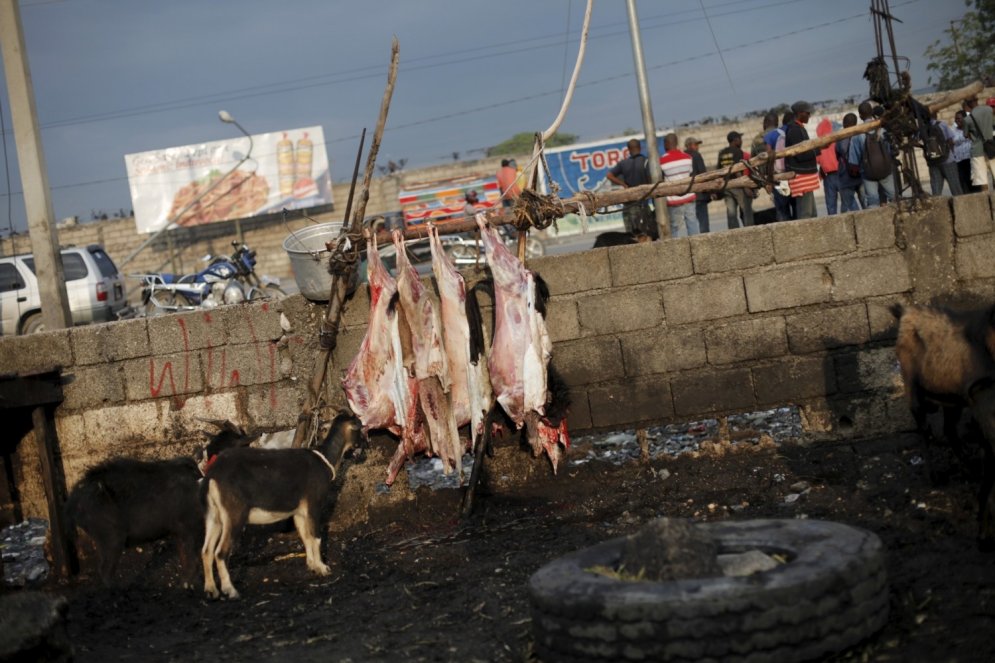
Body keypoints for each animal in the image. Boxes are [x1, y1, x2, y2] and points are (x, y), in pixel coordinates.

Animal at [66, 456, 204, 588]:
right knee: (104, 569)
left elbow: (185, 556)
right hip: (110, 537)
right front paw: (187, 585)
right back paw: (120, 588)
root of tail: (73, 501)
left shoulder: (180, 531)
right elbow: (192, 558)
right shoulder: (188, 527)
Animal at [200, 412, 364, 600]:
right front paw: (323, 568)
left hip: (213, 516)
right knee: (220, 552)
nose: (365, 445)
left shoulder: (299, 511)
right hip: (234, 515)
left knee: (206, 551)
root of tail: (213, 476)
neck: (324, 459)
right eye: (360, 427)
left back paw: (211, 590)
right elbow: (316, 536)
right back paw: (231, 591)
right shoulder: (313, 504)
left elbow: (305, 536)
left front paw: (312, 565)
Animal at [892, 302, 995, 548]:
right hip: (914, 391)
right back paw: (934, 476)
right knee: (923, 432)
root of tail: (905, 313)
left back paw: (969, 468)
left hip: (951, 401)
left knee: (949, 430)